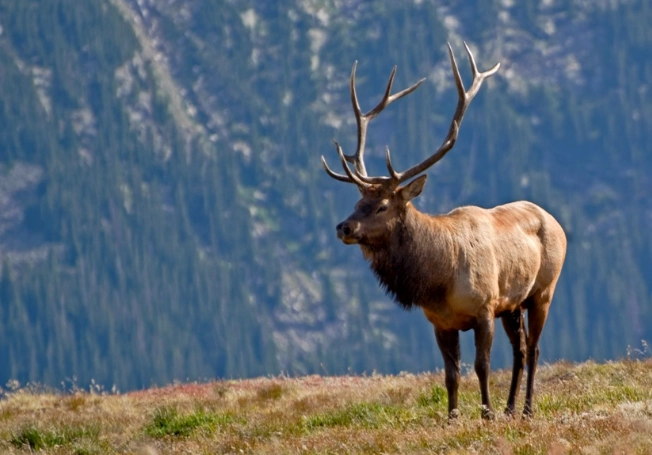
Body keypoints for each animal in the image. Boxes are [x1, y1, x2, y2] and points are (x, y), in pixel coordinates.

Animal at [321, 43, 567, 420]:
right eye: (358, 200)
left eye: (382, 206)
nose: (343, 227)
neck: (439, 279)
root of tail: (556, 222)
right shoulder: (440, 322)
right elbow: (451, 375)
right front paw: (453, 418)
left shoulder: (484, 308)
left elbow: (481, 366)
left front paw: (486, 413)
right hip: (513, 304)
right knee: (521, 350)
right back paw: (511, 408)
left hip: (543, 290)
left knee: (535, 349)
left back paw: (525, 410)